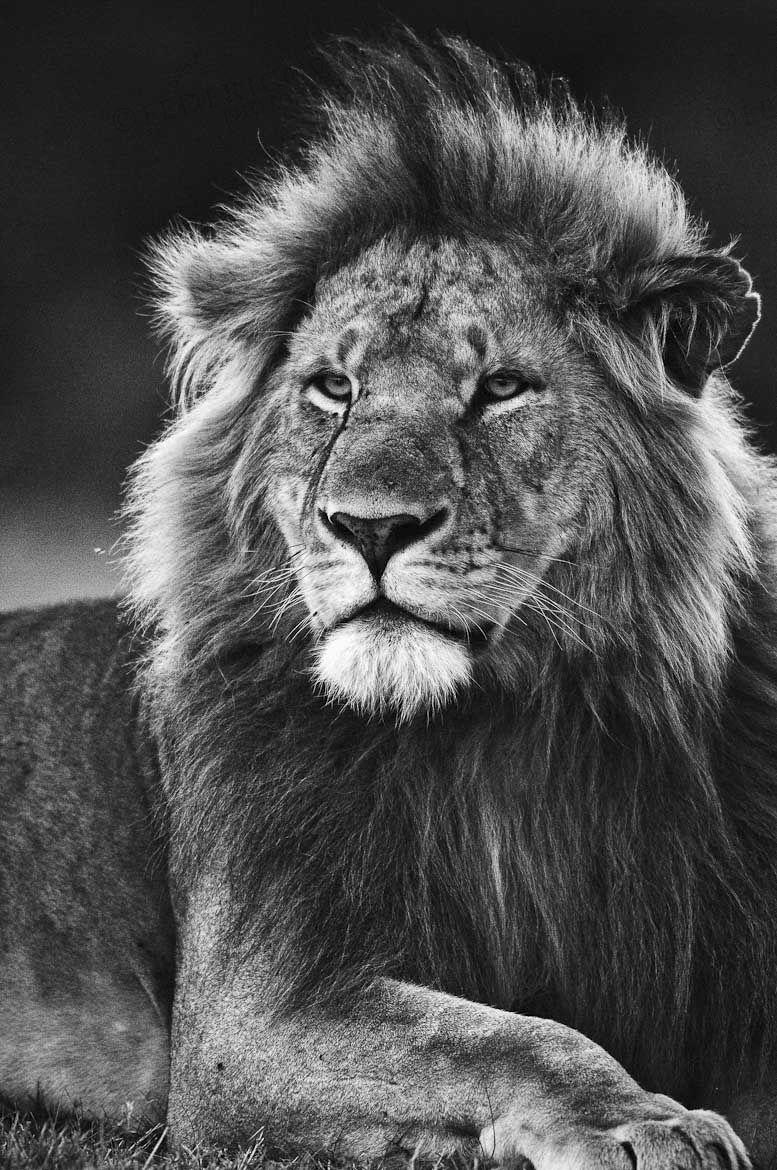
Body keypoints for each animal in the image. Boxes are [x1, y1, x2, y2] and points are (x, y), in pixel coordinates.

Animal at [2, 30, 776, 1170]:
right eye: (334, 388)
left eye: (499, 389)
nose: (369, 528)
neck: (506, 739)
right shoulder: (249, 1018)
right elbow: (515, 1038)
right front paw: (643, 1120)